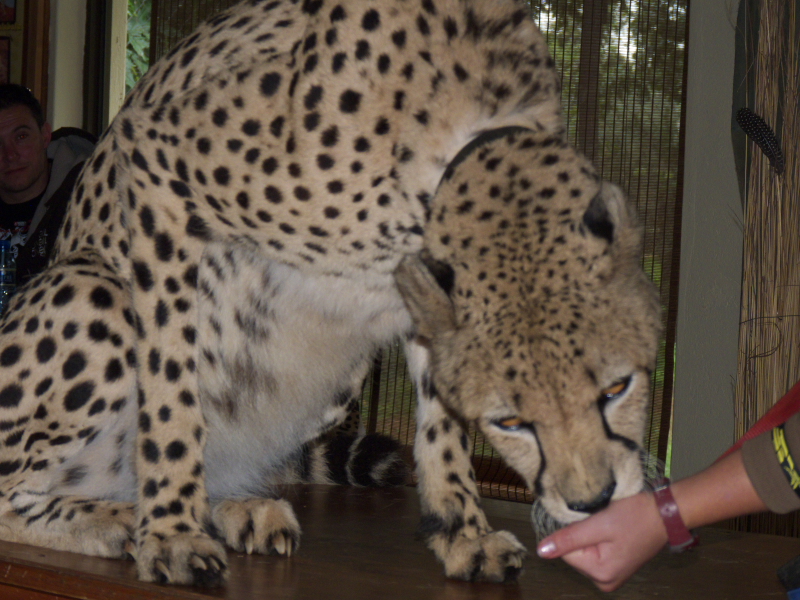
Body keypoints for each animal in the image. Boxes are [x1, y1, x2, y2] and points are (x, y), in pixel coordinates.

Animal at [0, 0, 662, 588]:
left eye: (617, 389)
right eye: (512, 421)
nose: (594, 499)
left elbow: (442, 430)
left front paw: (461, 535)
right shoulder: (156, 166)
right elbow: (171, 398)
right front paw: (171, 537)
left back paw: (232, 508)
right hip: (98, 289)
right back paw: (122, 518)